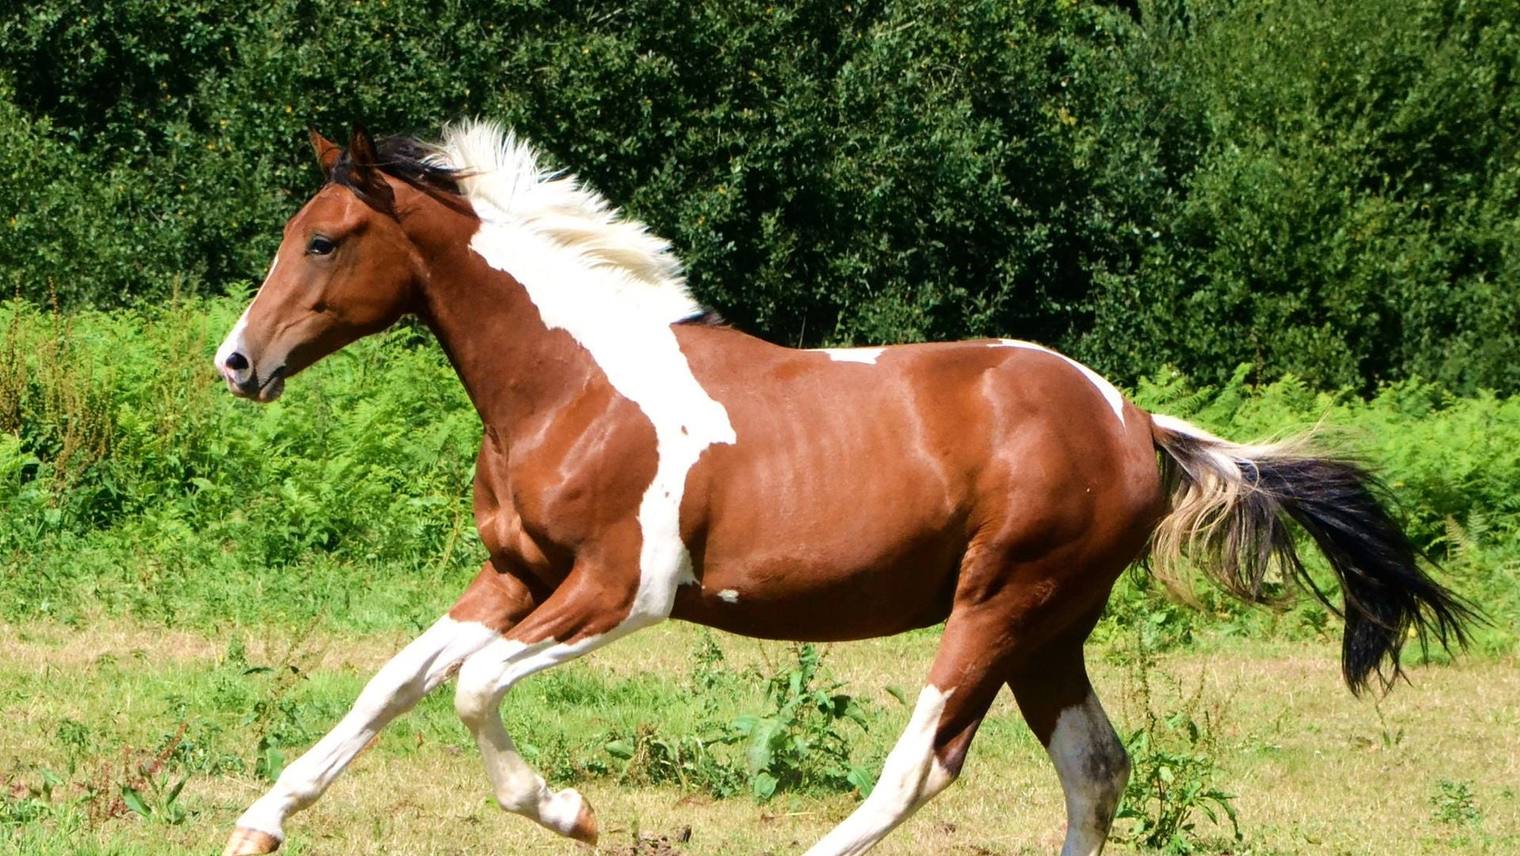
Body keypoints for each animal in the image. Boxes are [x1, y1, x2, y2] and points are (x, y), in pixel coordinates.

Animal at [213, 122, 1472, 856]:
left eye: (324, 239)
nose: (236, 361)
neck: (574, 383)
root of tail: (1131, 420)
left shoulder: (622, 589)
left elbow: (471, 688)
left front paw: (571, 810)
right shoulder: (515, 574)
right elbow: (394, 682)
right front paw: (259, 824)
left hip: (998, 601)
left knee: (922, 762)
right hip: (1049, 624)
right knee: (1094, 767)